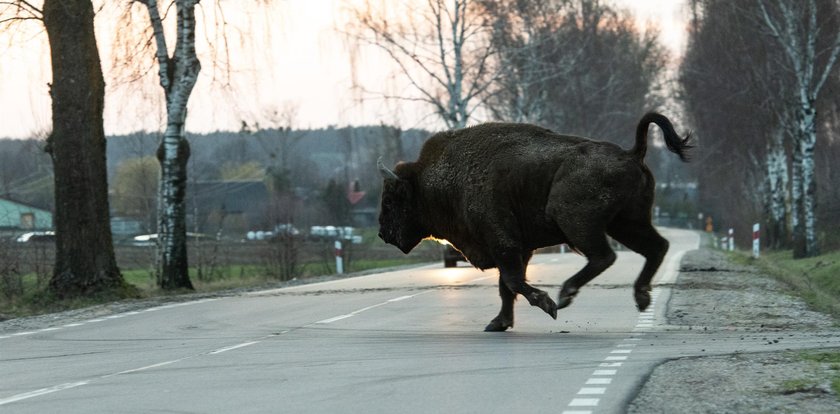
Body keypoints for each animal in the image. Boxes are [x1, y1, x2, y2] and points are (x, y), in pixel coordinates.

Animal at [378, 111, 692, 332]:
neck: (435, 180)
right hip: (626, 223)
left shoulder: (504, 244)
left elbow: (513, 282)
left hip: (577, 222)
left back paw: (565, 295)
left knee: (605, 256)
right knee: (656, 247)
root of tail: (631, 152)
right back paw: (641, 298)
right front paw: (498, 324)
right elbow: (506, 287)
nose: (382, 233)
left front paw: (546, 304)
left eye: (391, 199)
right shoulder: (519, 249)